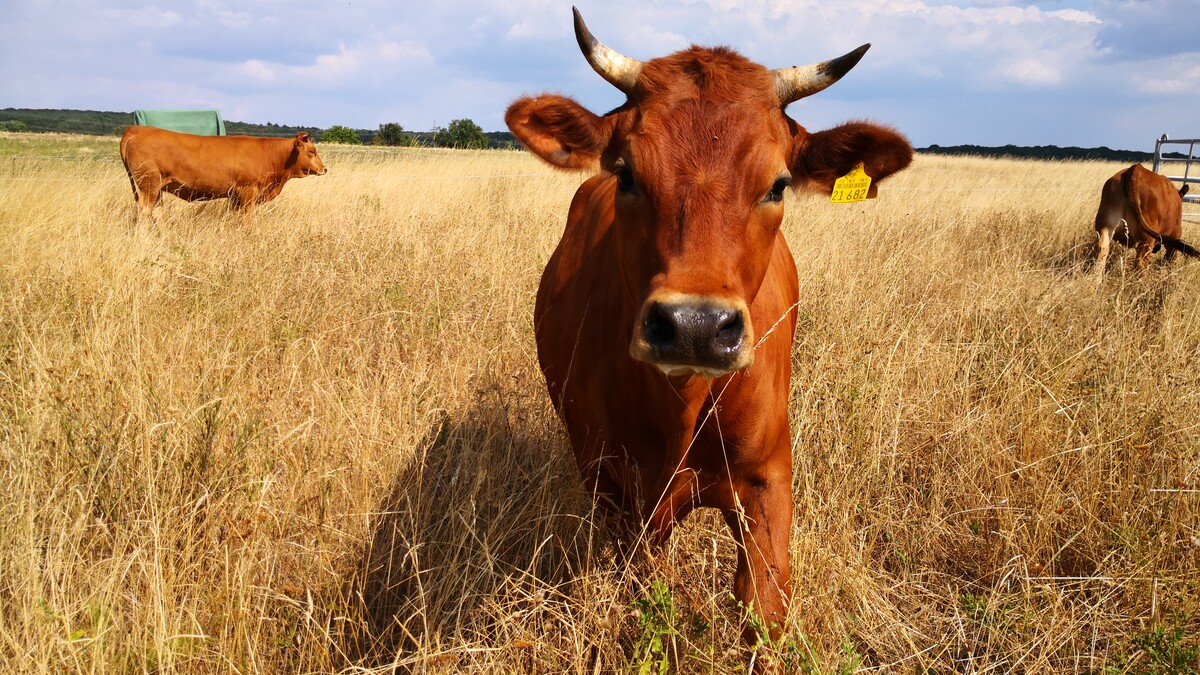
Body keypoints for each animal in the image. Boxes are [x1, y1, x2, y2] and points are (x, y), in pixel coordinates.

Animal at [119, 126, 327, 223]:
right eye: (312, 151)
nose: (324, 169)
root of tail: (137, 129)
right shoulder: (248, 192)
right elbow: (246, 219)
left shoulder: (234, 196)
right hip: (149, 185)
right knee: (144, 212)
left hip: (156, 189)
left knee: (156, 213)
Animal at [506, 8, 912, 651]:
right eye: (626, 173)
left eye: (778, 183)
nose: (695, 326)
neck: (683, 402)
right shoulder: (617, 491)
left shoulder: (768, 480)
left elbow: (764, 611)